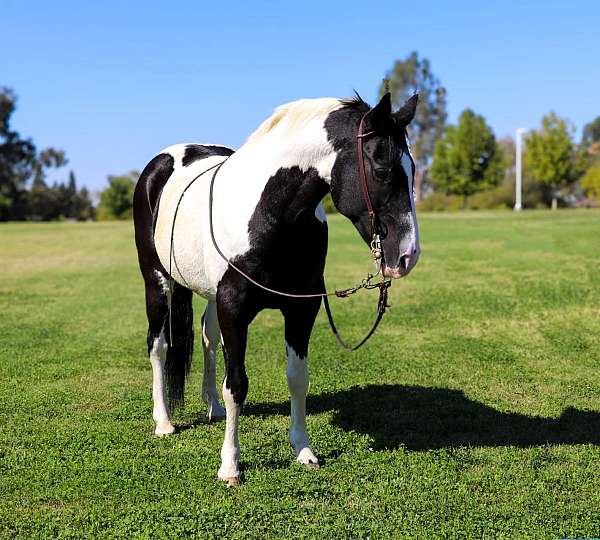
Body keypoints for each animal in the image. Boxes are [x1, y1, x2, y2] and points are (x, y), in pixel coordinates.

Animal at [134, 92, 420, 486]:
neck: (271, 213)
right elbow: (237, 384)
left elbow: (298, 378)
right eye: (382, 171)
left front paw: (303, 449)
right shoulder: (234, 307)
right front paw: (230, 466)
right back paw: (163, 421)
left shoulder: (302, 308)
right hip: (157, 280)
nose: (408, 255)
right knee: (158, 345)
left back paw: (212, 406)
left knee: (208, 338)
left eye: (413, 170)